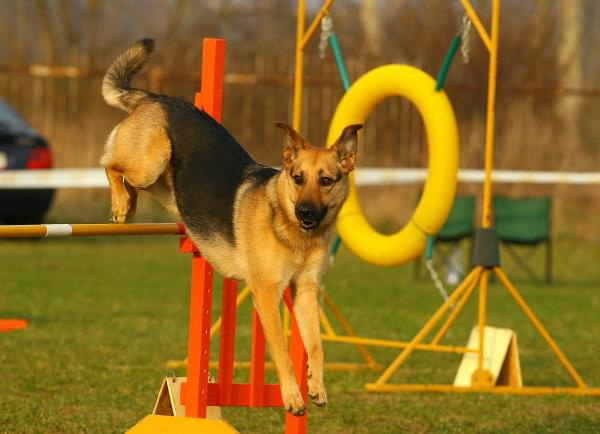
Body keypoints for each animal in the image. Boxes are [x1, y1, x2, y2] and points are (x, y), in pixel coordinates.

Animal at [102, 39, 360, 414]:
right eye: (298, 178)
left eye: (326, 180)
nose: (306, 213)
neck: (290, 228)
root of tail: (157, 98)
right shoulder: (266, 294)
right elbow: (282, 353)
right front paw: (292, 395)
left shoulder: (305, 290)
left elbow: (315, 346)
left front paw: (316, 386)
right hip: (152, 159)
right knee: (109, 163)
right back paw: (121, 203)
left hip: (167, 185)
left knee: (129, 179)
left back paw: (128, 201)